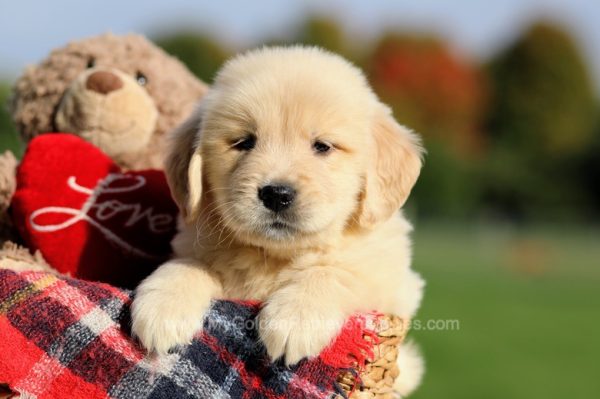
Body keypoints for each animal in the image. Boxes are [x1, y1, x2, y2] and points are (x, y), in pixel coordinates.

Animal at [131, 47, 424, 396]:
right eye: (244, 142)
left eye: (322, 146)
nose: (276, 194)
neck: (273, 257)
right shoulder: (194, 246)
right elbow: (189, 264)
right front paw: (163, 308)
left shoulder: (392, 281)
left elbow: (336, 271)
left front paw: (295, 318)